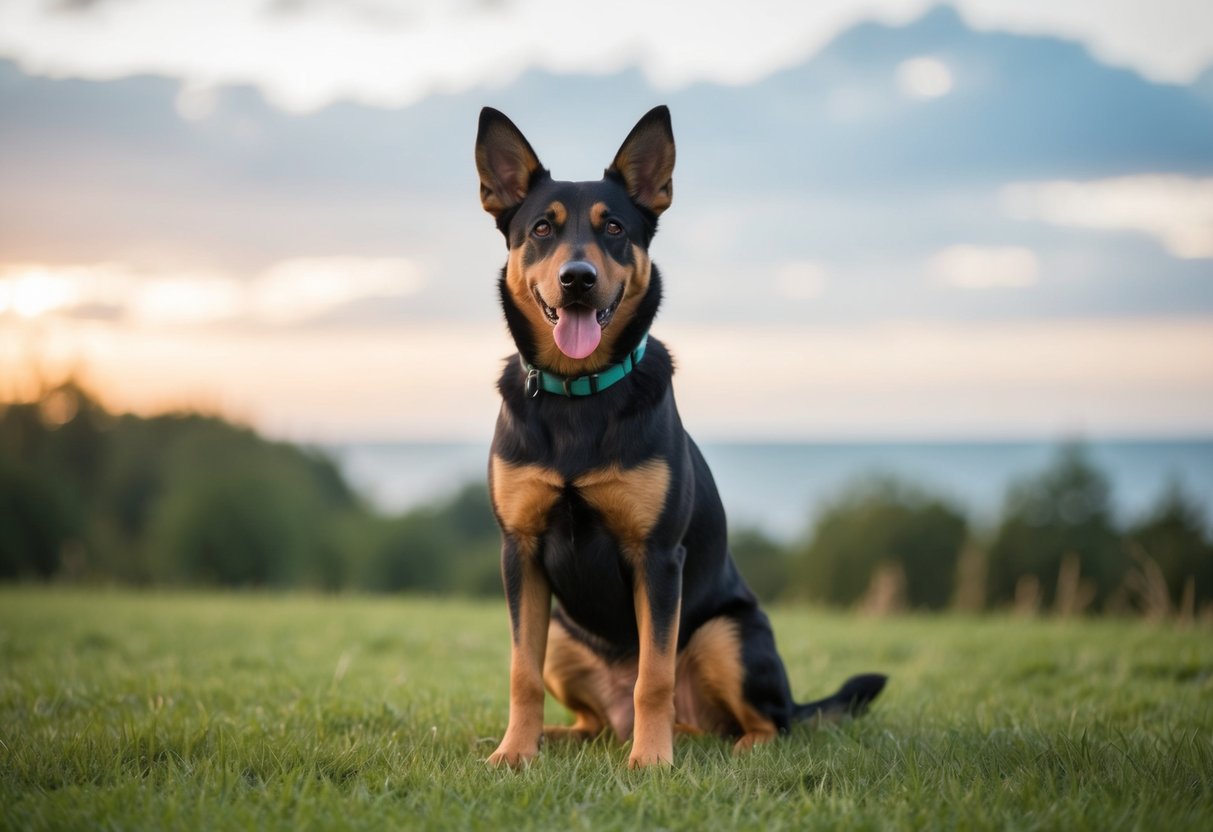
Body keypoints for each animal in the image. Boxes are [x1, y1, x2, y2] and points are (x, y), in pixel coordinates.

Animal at [470, 107, 883, 771]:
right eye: (541, 228)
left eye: (614, 227)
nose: (578, 278)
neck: (579, 394)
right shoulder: (521, 552)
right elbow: (520, 672)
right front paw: (513, 753)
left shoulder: (659, 557)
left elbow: (654, 675)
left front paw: (651, 762)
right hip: (562, 634)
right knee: (594, 719)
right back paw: (562, 737)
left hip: (726, 635)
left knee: (767, 722)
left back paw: (727, 747)